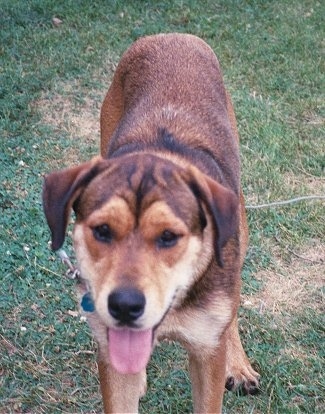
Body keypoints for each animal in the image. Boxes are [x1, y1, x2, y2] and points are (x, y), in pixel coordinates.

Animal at [43, 34, 260, 412]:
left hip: (241, 225)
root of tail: (172, 35)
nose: (125, 306)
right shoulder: (110, 351)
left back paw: (239, 363)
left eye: (169, 236)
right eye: (102, 230)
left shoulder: (207, 354)